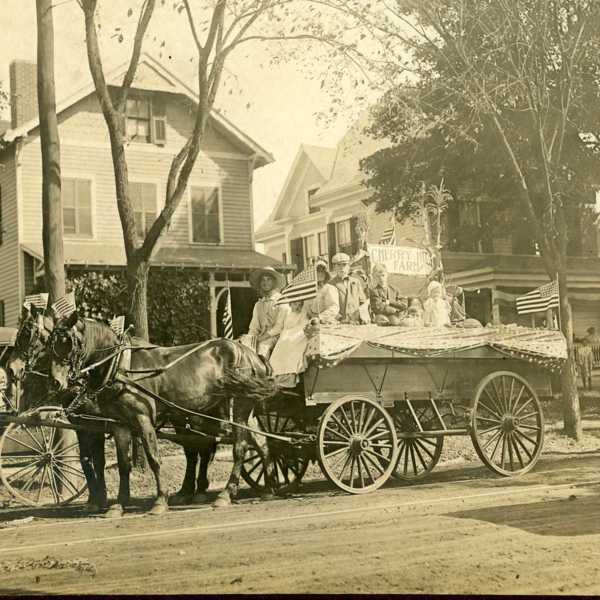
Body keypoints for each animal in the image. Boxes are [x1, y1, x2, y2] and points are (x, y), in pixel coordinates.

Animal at [49, 314, 278, 516]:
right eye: (51, 343)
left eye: (67, 341)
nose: (56, 382)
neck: (120, 365)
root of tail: (252, 354)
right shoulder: (119, 424)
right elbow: (123, 464)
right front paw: (119, 505)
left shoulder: (143, 419)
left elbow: (153, 459)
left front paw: (160, 501)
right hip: (240, 412)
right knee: (261, 444)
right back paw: (268, 488)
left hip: (239, 406)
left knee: (239, 447)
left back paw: (226, 494)